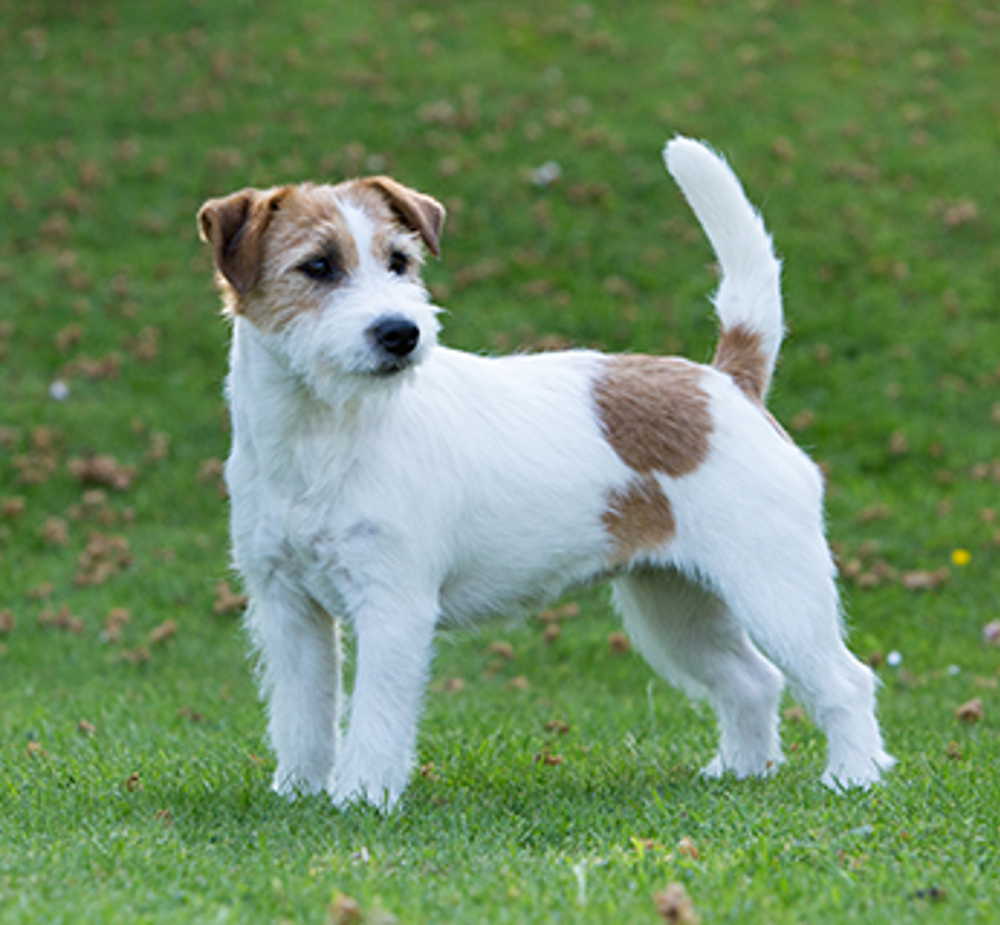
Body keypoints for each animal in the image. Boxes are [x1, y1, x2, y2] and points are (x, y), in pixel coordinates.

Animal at [199, 135, 896, 808]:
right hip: (674, 603)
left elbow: (375, 718)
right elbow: (302, 715)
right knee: (753, 681)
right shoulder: (288, 608)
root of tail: (728, 381)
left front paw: (361, 799)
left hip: (778, 587)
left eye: (399, 262)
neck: (319, 436)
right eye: (318, 266)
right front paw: (298, 794)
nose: (400, 333)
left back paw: (852, 777)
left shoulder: (393, 606)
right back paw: (739, 773)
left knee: (846, 681)